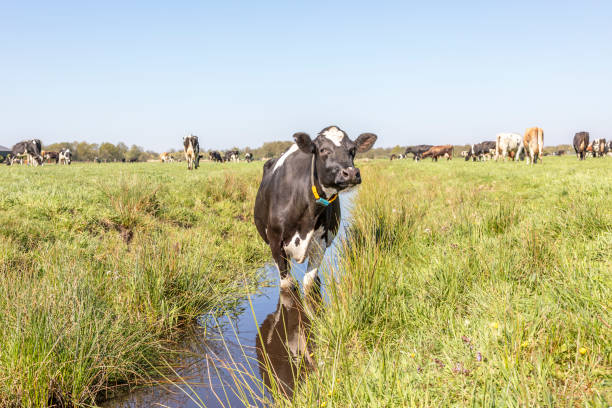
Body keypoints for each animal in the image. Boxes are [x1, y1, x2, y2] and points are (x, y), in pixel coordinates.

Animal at [253, 126, 378, 290]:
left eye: (352, 149)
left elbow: (310, 282)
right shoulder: (275, 242)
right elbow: (287, 286)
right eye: (323, 149)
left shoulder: (321, 242)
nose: (351, 173)